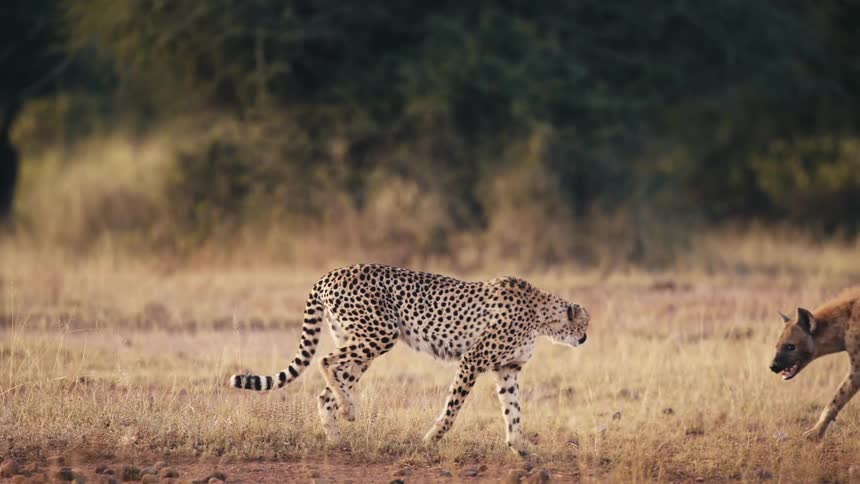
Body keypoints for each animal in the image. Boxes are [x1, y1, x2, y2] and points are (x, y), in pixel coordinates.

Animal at [229, 263, 590, 456]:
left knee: (325, 393)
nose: (586, 338)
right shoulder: (472, 360)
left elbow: (513, 411)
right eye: (584, 324)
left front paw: (521, 447)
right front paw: (431, 439)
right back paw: (348, 411)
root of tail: (331, 273)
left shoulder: (507, 370)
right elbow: (452, 409)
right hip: (379, 334)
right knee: (325, 362)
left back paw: (338, 435)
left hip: (361, 343)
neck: (541, 315)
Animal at [769, 287, 860, 439]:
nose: (773, 366)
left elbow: (836, 399)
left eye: (790, 346)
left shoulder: (857, 366)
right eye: (776, 346)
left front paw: (814, 433)